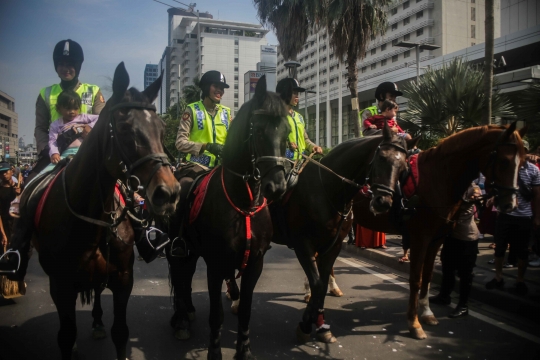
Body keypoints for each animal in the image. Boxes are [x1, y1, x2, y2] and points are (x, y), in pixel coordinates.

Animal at [5, 63, 180, 360]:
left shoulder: (123, 278)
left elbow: (120, 333)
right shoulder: (60, 284)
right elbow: (66, 336)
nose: (168, 193)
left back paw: (97, 322)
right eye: (125, 128)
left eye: (161, 128)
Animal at [167, 76, 292, 360]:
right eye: (259, 131)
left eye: (287, 132)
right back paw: (181, 319)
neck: (243, 203)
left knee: (186, 276)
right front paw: (214, 352)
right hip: (176, 249)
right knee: (179, 275)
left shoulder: (255, 263)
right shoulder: (215, 264)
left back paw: (188, 310)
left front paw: (243, 350)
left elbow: (245, 310)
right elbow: (216, 315)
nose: (277, 187)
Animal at [352, 122, 524, 338]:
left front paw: (426, 314)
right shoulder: (420, 238)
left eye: (523, 162)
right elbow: (416, 279)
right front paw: (414, 323)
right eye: (504, 161)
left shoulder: (437, 239)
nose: (511, 204)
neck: (438, 179)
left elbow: (428, 276)